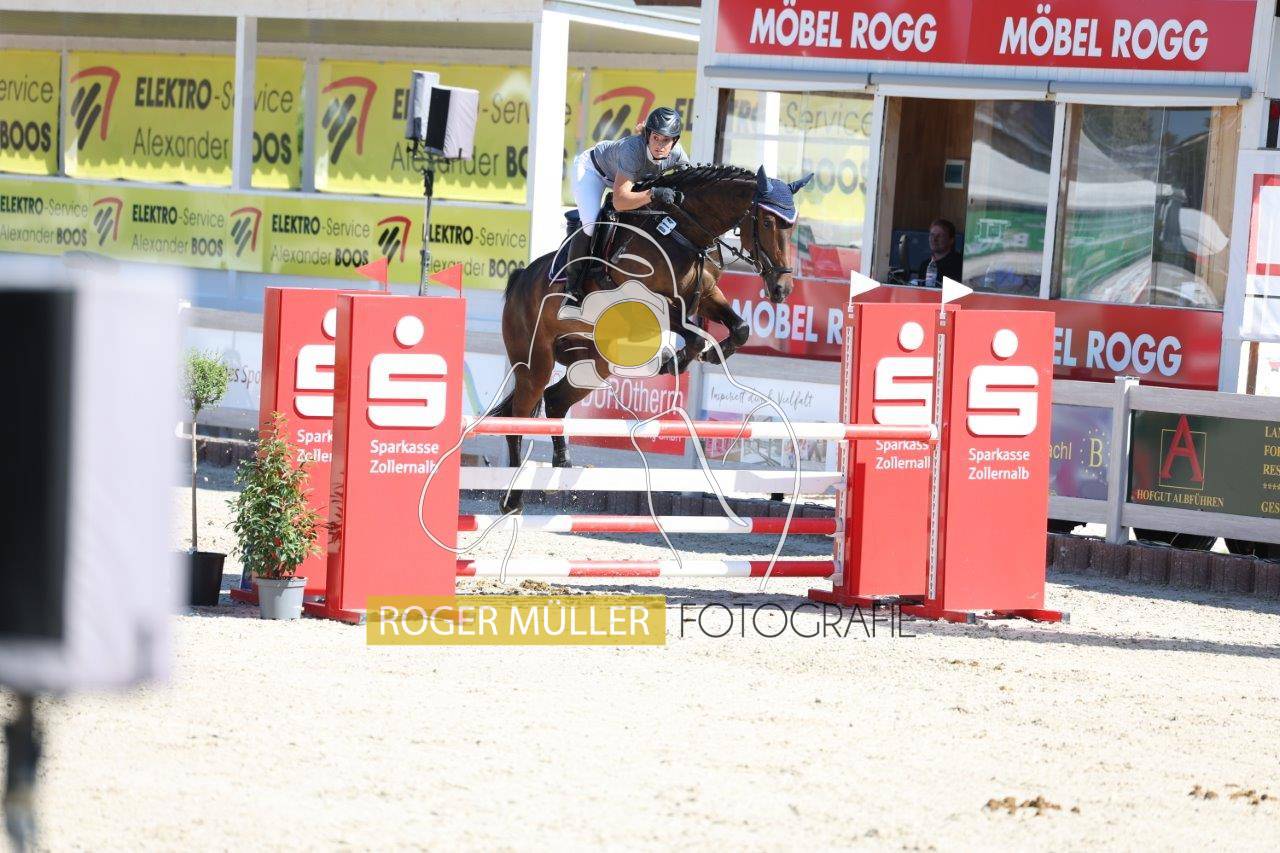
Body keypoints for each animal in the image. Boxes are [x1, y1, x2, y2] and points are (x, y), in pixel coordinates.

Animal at [492, 164, 811, 514]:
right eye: (767, 222)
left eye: (792, 226)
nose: (781, 289)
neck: (683, 233)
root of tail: (520, 278)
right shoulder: (647, 301)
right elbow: (694, 337)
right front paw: (674, 361)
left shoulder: (707, 294)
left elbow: (739, 328)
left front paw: (711, 355)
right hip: (535, 364)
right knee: (518, 417)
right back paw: (512, 500)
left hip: (593, 364)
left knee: (555, 400)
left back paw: (562, 467)